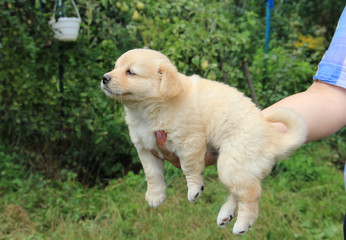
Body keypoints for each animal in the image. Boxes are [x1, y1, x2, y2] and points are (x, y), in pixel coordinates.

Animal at [100, 48, 306, 234]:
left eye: (130, 72)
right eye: (115, 67)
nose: (104, 78)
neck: (149, 109)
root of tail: (274, 139)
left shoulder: (189, 141)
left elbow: (189, 168)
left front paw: (194, 190)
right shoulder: (145, 148)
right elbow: (152, 174)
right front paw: (155, 196)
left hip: (231, 162)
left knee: (251, 195)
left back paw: (242, 224)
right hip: (237, 168)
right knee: (240, 191)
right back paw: (226, 215)